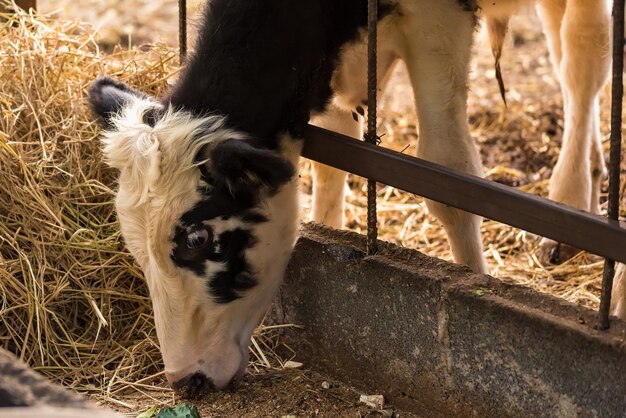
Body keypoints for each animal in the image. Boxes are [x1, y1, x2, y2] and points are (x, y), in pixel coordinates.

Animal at [88, 0, 608, 396]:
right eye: (135, 246)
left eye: (197, 239)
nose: (185, 379)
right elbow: (337, 150)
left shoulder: (438, 18)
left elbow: (450, 173)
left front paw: (476, 280)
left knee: (583, 59)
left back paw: (571, 199)